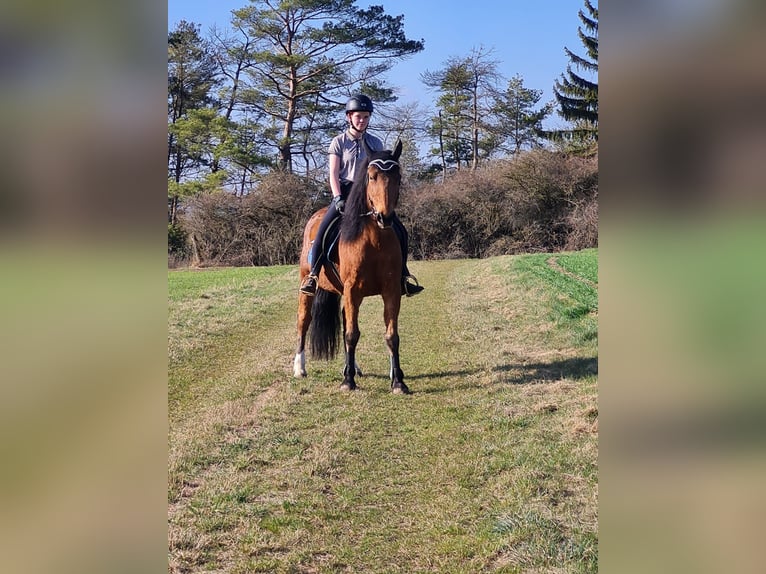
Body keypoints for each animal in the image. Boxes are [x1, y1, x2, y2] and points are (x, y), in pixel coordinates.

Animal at [294, 140, 412, 396]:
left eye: (398, 176)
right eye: (372, 176)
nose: (385, 217)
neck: (374, 239)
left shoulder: (391, 290)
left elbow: (392, 335)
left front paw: (397, 380)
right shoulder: (352, 290)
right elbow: (351, 334)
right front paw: (347, 382)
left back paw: (352, 367)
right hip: (307, 286)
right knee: (304, 321)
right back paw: (300, 368)